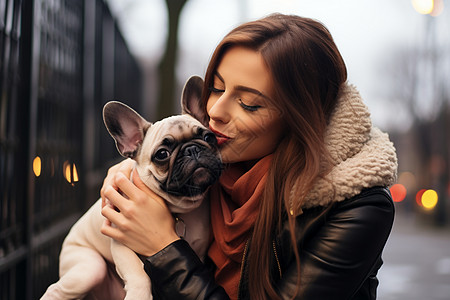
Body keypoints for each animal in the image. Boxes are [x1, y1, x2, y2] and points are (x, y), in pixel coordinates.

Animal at [42, 76, 223, 298]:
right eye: (162, 154)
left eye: (209, 137)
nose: (192, 149)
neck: (180, 210)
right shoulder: (121, 239)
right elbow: (137, 272)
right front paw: (139, 294)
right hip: (87, 267)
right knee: (57, 288)